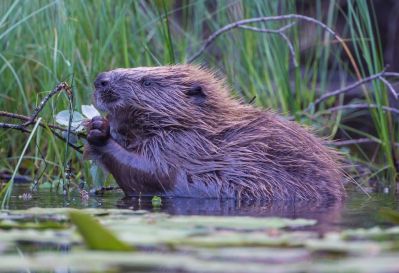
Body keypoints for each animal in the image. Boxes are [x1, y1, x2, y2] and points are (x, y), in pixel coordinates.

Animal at [85, 64, 346, 199]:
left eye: (147, 82)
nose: (100, 79)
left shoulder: (184, 145)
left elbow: (151, 172)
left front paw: (99, 131)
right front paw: (97, 123)